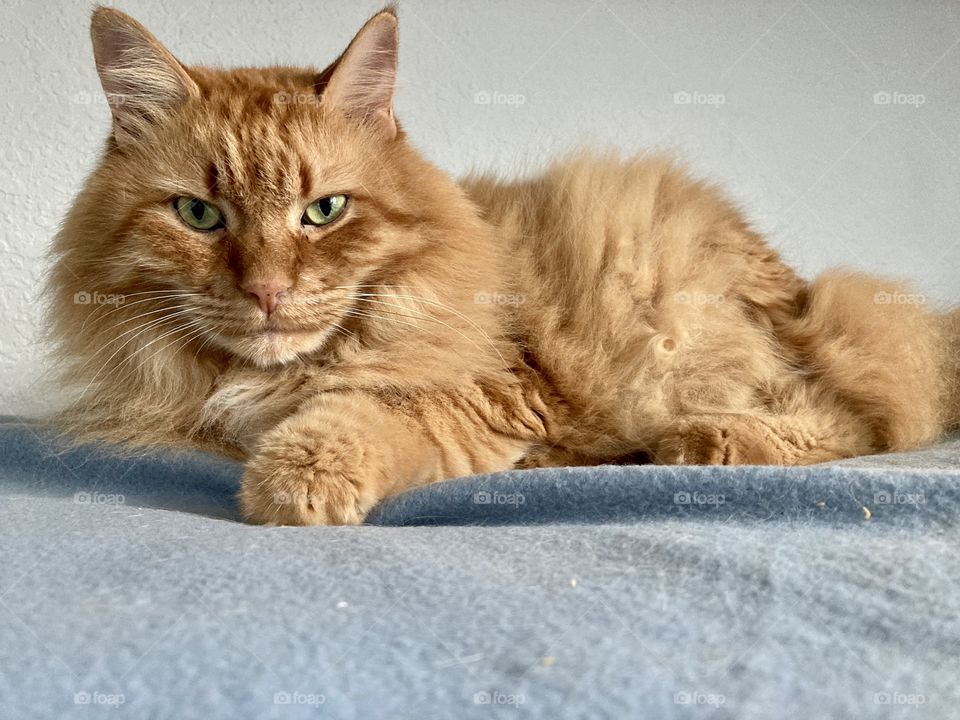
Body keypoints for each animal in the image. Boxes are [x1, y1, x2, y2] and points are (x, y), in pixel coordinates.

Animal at [48, 4, 960, 524]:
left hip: (683, 342)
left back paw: (708, 441)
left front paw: (294, 482)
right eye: (200, 215)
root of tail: (799, 289)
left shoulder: (485, 391)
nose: (269, 291)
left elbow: (357, 414)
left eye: (324, 212)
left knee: (858, 413)